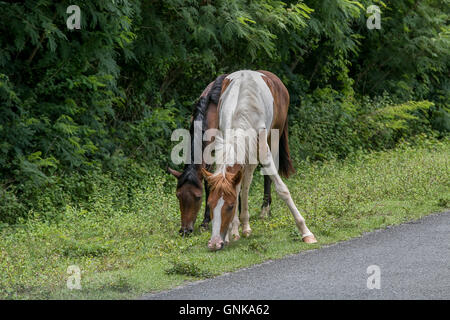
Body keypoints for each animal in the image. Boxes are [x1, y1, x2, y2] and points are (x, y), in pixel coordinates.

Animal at [202, 70, 318, 250]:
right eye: (209, 204)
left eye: (230, 206)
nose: (214, 243)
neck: (241, 112)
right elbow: (239, 188)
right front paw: (231, 233)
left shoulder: (262, 151)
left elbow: (282, 190)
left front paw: (306, 232)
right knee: (245, 185)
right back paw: (242, 227)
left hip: (274, 138)